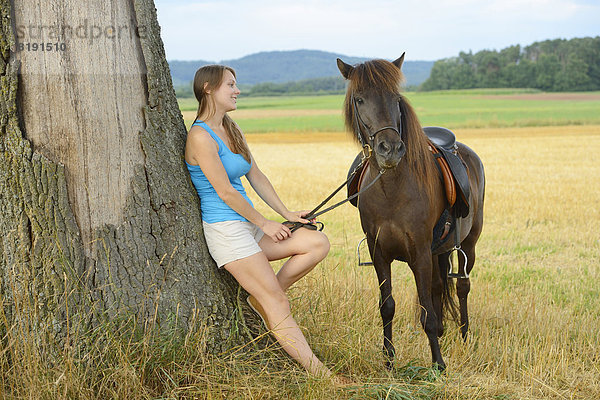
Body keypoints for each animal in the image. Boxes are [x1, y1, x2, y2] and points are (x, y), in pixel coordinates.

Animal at [336, 54, 486, 370]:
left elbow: (427, 310)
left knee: (462, 286)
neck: (392, 190)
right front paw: (389, 359)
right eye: (359, 99)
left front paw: (438, 364)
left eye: (395, 98)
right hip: (440, 250)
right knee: (440, 286)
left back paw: (465, 337)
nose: (389, 149)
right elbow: (388, 306)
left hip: (468, 242)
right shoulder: (379, 252)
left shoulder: (420, 252)